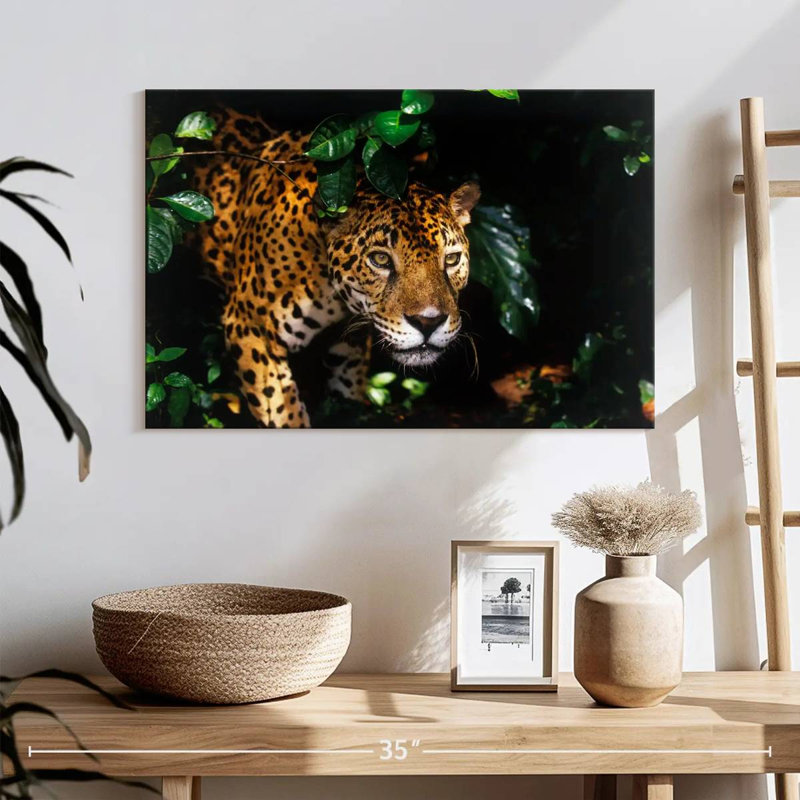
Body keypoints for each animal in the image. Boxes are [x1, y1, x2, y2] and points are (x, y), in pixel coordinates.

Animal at [191, 109, 480, 428]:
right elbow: (283, 412)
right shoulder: (249, 326)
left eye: (451, 260)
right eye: (380, 260)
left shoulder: (349, 345)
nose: (429, 322)